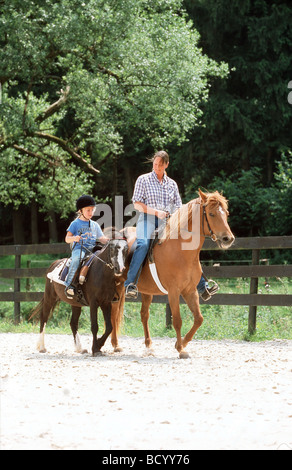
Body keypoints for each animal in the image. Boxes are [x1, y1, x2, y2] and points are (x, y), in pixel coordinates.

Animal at [110, 189, 235, 358]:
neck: (180, 251)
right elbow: (177, 320)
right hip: (117, 285)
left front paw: (182, 343)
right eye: (211, 213)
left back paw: (148, 346)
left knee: (144, 315)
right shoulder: (174, 292)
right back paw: (116, 345)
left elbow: (199, 319)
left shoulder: (190, 291)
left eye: (226, 213)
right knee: (113, 312)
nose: (228, 238)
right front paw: (181, 349)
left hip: (147, 291)